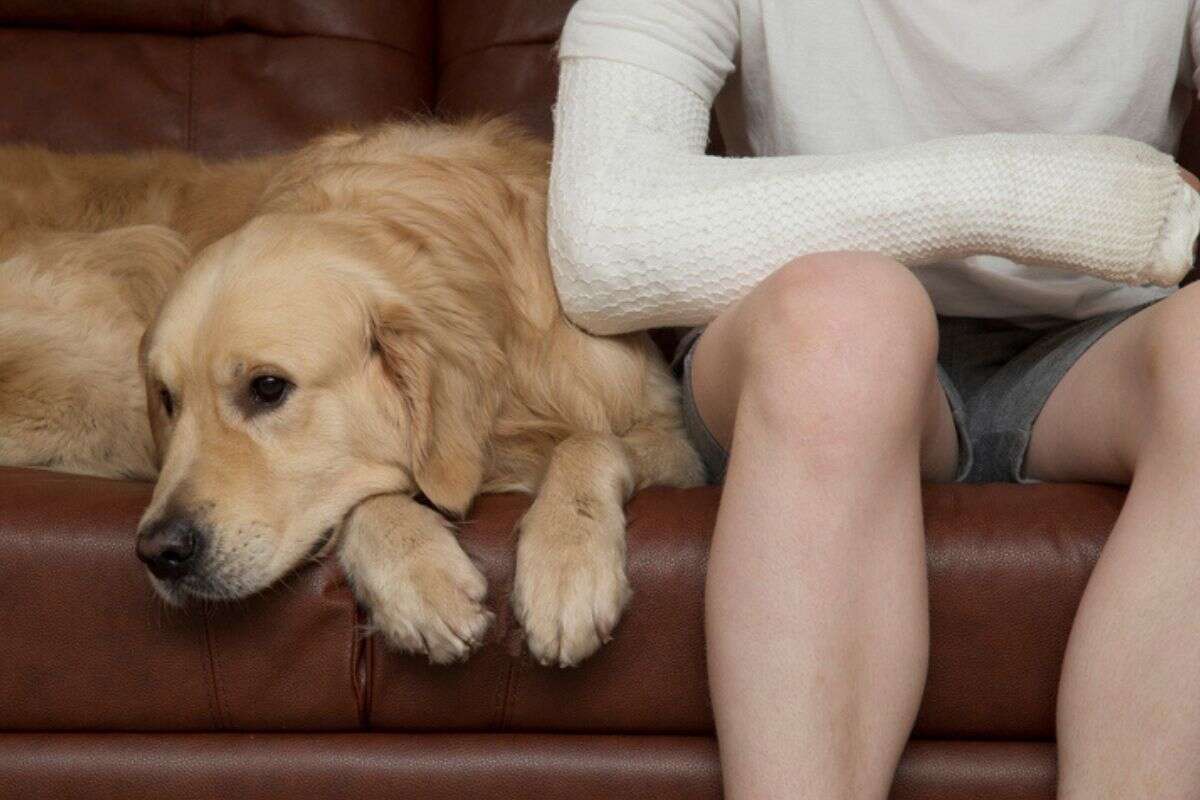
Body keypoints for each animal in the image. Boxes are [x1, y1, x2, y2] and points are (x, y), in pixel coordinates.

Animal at [0, 120, 700, 671]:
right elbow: (370, 490)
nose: (159, 553)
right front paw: (419, 577)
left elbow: (591, 441)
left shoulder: (670, 436)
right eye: (169, 400)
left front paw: (566, 568)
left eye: (268, 388)